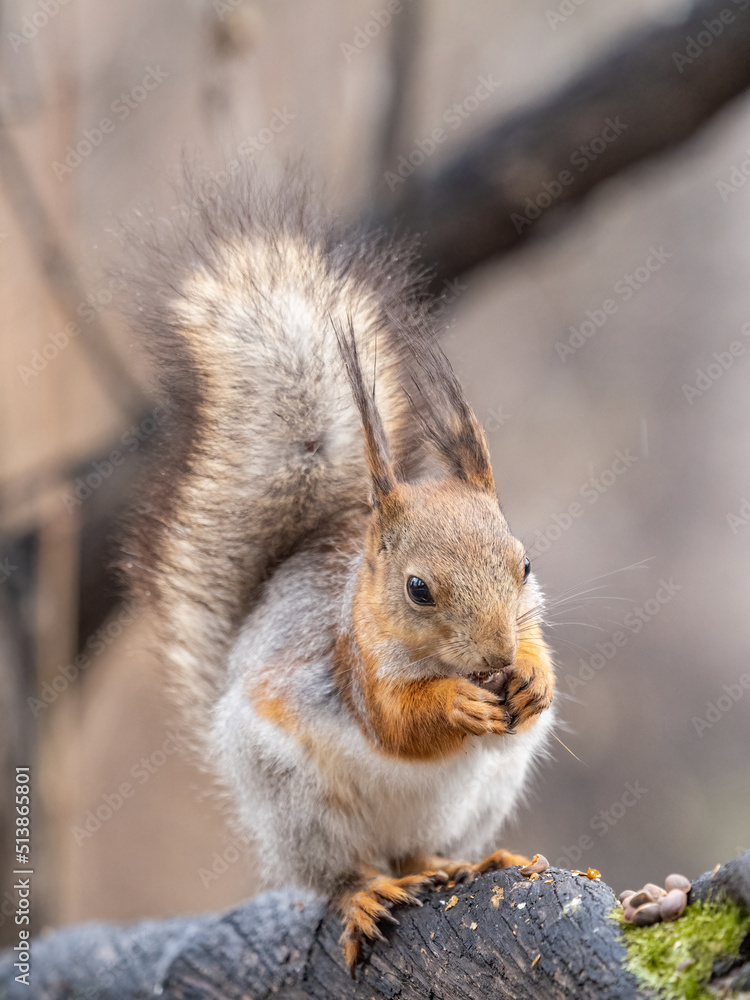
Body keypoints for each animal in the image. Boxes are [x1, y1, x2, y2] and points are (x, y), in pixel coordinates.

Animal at [122, 170, 556, 972]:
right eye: (417, 589)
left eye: (525, 563)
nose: (496, 658)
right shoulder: (353, 661)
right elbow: (395, 723)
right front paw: (456, 703)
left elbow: (540, 665)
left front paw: (533, 680)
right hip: (298, 805)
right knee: (344, 873)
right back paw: (366, 894)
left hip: (479, 797)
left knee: (420, 854)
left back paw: (466, 863)